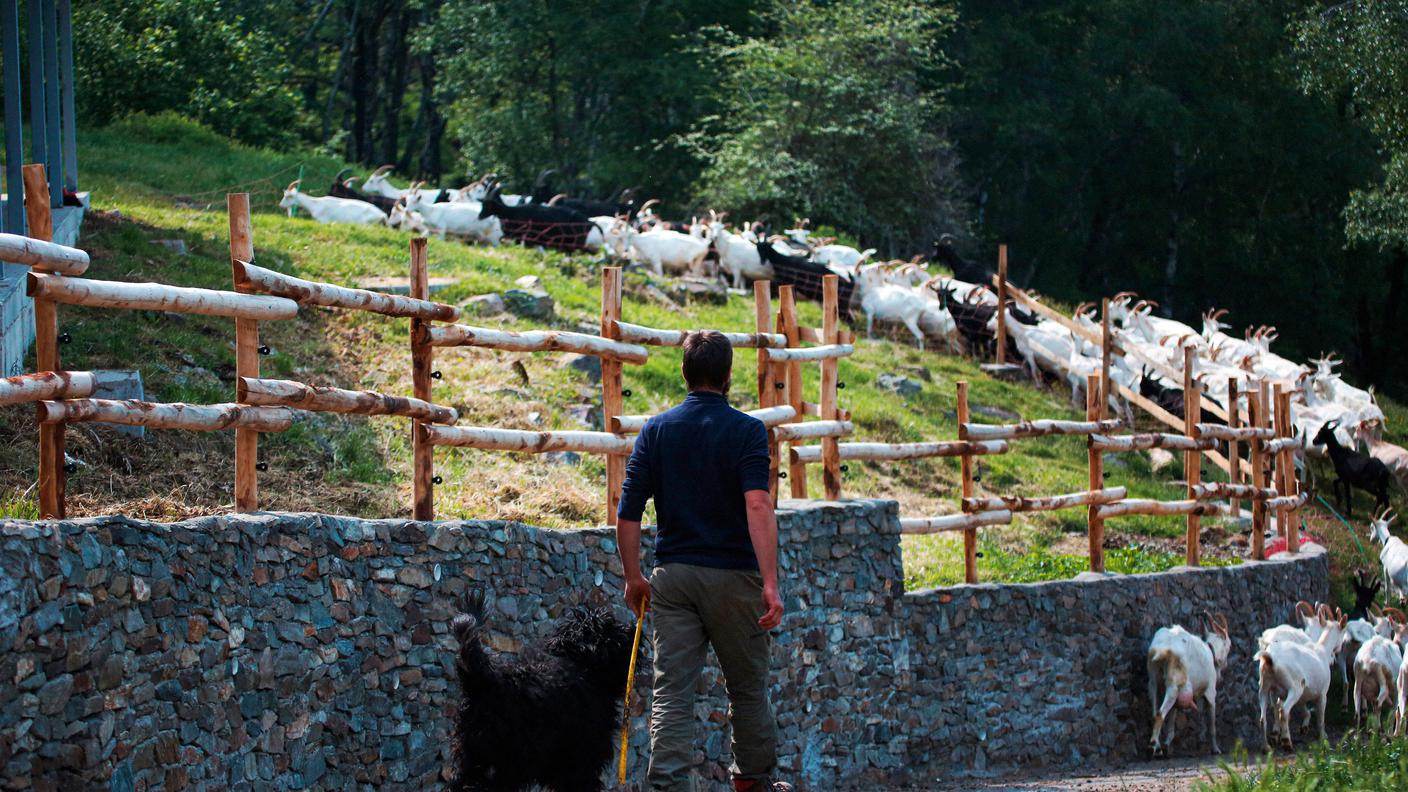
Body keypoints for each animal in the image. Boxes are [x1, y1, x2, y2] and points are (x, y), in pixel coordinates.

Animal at [450, 586, 633, 789]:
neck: (581, 660)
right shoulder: (582, 758)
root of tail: (484, 680)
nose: (631, 629)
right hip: (511, 758)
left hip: (471, 753)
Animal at [1148, 614, 1227, 755]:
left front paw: (1168, 743)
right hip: (1174, 683)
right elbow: (1211, 722)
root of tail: (1163, 649)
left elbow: (1176, 715)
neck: (1209, 649)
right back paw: (1154, 745)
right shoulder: (1210, 691)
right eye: (1228, 646)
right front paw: (1215, 748)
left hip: (1153, 675)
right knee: (1160, 713)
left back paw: (1158, 743)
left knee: (1154, 705)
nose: (1225, 665)